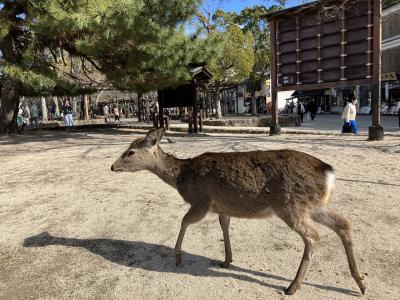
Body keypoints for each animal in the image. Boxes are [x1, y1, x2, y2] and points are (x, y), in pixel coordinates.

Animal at [110, 127, 366, 296]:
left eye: (130, 152)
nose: (112, 166)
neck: (182, 177)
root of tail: (329, 172)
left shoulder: (202, 201)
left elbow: (184, 222)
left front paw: (178, 257)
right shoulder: (222, 206)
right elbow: (224, 226)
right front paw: (227, 260)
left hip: (290, 205)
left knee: (313, 236)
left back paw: (293, 287)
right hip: (315, 205)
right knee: (345, 223)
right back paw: (361, 282)